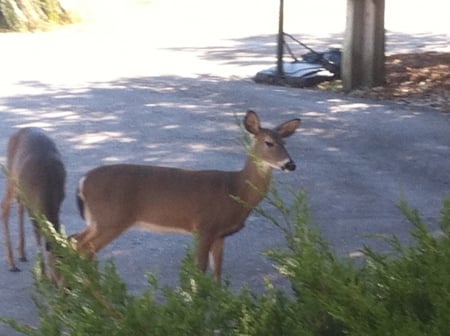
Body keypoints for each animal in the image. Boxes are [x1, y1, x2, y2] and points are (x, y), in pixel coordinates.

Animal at [0, 127, 66, 274]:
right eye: (57, 268)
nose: (69, 285)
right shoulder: (34, 205)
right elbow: (37, 234)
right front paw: (42, 273)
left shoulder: (59, 200)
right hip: (12, 177)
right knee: (5, 207)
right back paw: (12, 263)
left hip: (21, 188)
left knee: (19, 208)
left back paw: (22, 254)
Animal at [73, 110, 298, 280]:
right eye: (269, 142)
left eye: (285, 143)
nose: (290, 165)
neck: (235, 189)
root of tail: (82, 181)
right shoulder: (205, 227)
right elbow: (200, 270)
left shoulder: (220, 234)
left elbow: (217, 271)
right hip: (112, 219)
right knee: (82, 248)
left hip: (99, 221)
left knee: (74, 241)